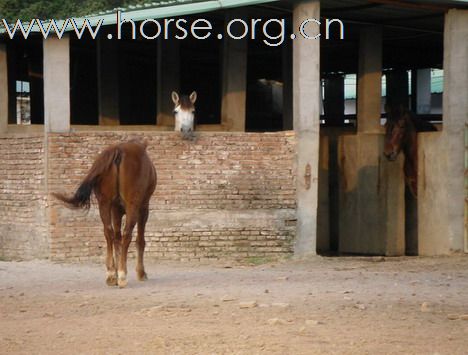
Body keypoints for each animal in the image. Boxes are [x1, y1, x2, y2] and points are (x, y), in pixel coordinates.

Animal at [52, 140, 156, 288]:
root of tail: (119, 150)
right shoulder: (143, 208)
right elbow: (139, 240)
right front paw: (140, 273)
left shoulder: (115, 209)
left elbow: (116, 238)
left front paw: (116, 271)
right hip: (133, 206)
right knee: (127, 234)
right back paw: (122, 275)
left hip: (104, 204)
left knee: (109, 233)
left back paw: (112, 274)